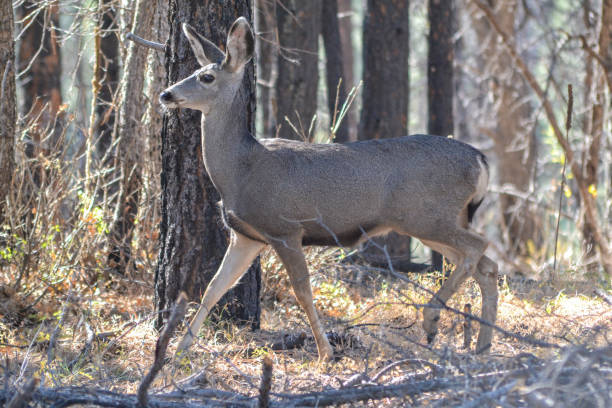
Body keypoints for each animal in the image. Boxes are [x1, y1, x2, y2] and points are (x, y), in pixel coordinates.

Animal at [160, 16, 500, 360]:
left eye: (206, 77)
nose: (166, 94)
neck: (240, 170)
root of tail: (481, 160)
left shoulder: (285, 228)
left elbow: (302, 291)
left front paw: (325, 353)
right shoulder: (247, 236)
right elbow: (213, 288)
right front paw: (178, 352)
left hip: (427, 215)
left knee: (479, 247)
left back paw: (432, 319)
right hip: (436, 219)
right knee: (485, 265)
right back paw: (482, 347)